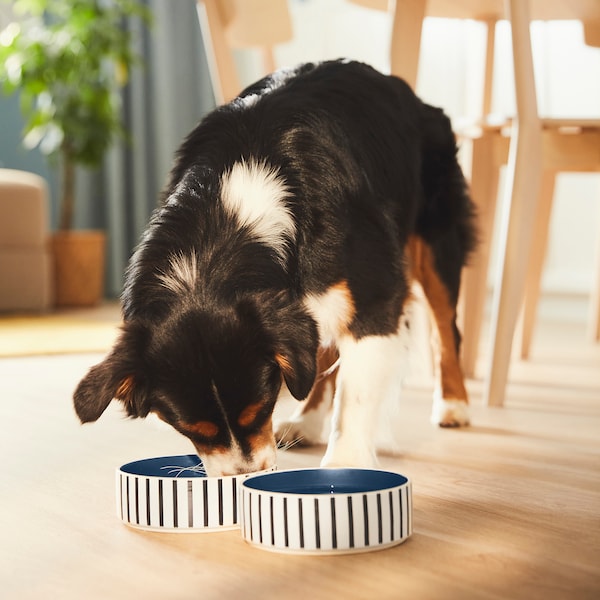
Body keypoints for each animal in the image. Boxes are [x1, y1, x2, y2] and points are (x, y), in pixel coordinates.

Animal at [72, 58, 476, 476]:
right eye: (192, 429)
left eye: (260, 407)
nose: (245, 474)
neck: (219, 229)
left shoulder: (375, 295)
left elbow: (356, 396)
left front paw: (344, 467)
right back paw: (307, 422)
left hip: (436, 239)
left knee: (446, 330)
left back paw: (453, 405)